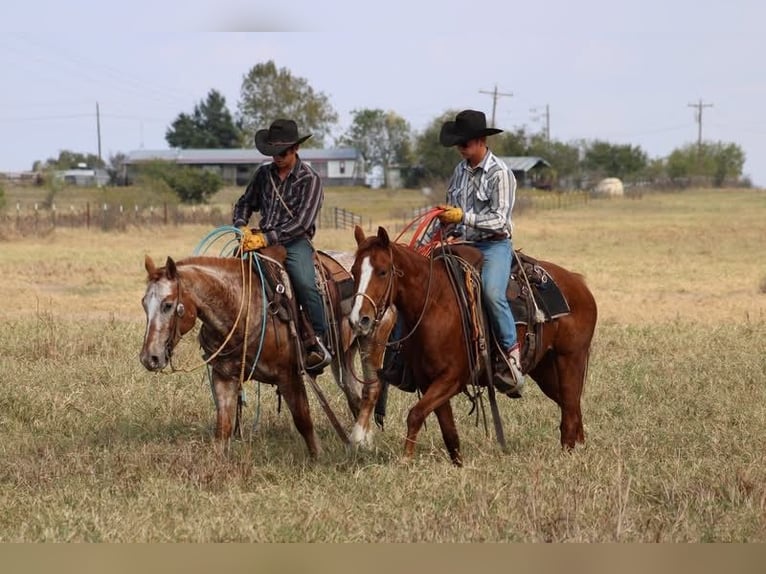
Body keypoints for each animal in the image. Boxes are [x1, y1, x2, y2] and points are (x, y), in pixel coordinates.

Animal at [139, 250, 370, 459]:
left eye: (168, 305)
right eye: (144, 304)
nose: (149, 358)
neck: (243, 309)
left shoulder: (289, 376)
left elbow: (303, 420)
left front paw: (318, 458)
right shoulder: (224, 377)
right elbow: (223, 428)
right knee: (354, 396)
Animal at [347, 225, 598, 466]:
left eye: (382, 271)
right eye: (354, 271)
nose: (359, 319)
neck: (435, 303)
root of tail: (579, 283)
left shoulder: (452, 379)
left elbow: (415, 414)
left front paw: (406, 460)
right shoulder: (429, 381)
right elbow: (448, 431)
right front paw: (458, 465)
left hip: (570, 359)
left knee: (570, 411)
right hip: (544, 368)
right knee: (571, 406)